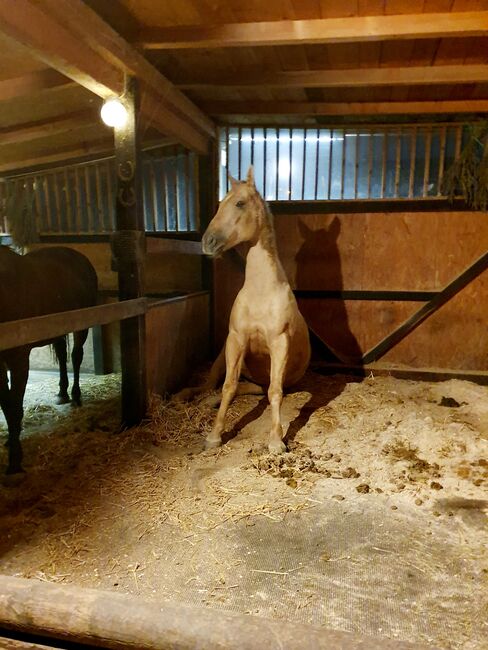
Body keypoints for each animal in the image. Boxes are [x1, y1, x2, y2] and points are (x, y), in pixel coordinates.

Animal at [0, 246, 99, 474]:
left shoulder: (19, 360)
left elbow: (14, 407)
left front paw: (15, 461)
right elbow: (6, 405)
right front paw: (11, 440)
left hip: (82, 326)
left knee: (76, 356)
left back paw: (75, 395)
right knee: (62, 355)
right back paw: (62, 393)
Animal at [177, 167, 310, 450]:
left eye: (240, 203)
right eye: (219, 205)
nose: (207, 242)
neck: (262, 293)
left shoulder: (279, 343)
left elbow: (274, 391)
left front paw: (276, 441)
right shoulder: (236, 339)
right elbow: (228, 386)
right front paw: (214, 435)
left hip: (257, 379)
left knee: (249, 388)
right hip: (221, 355)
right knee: (210, 385)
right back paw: (186, 396)